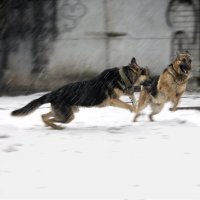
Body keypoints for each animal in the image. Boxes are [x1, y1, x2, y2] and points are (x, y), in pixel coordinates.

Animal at [10, 57, 148, 129]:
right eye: (146, 73)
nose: (151, 81)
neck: (123, 76)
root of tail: (53, 93)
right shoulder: (113, 100)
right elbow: (128, 105)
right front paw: (136, 111)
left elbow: (131, 102)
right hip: (68, 115)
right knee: (53, 118)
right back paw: (55, 126)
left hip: (69, 112)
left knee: (43, 116)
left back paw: (53, 126)